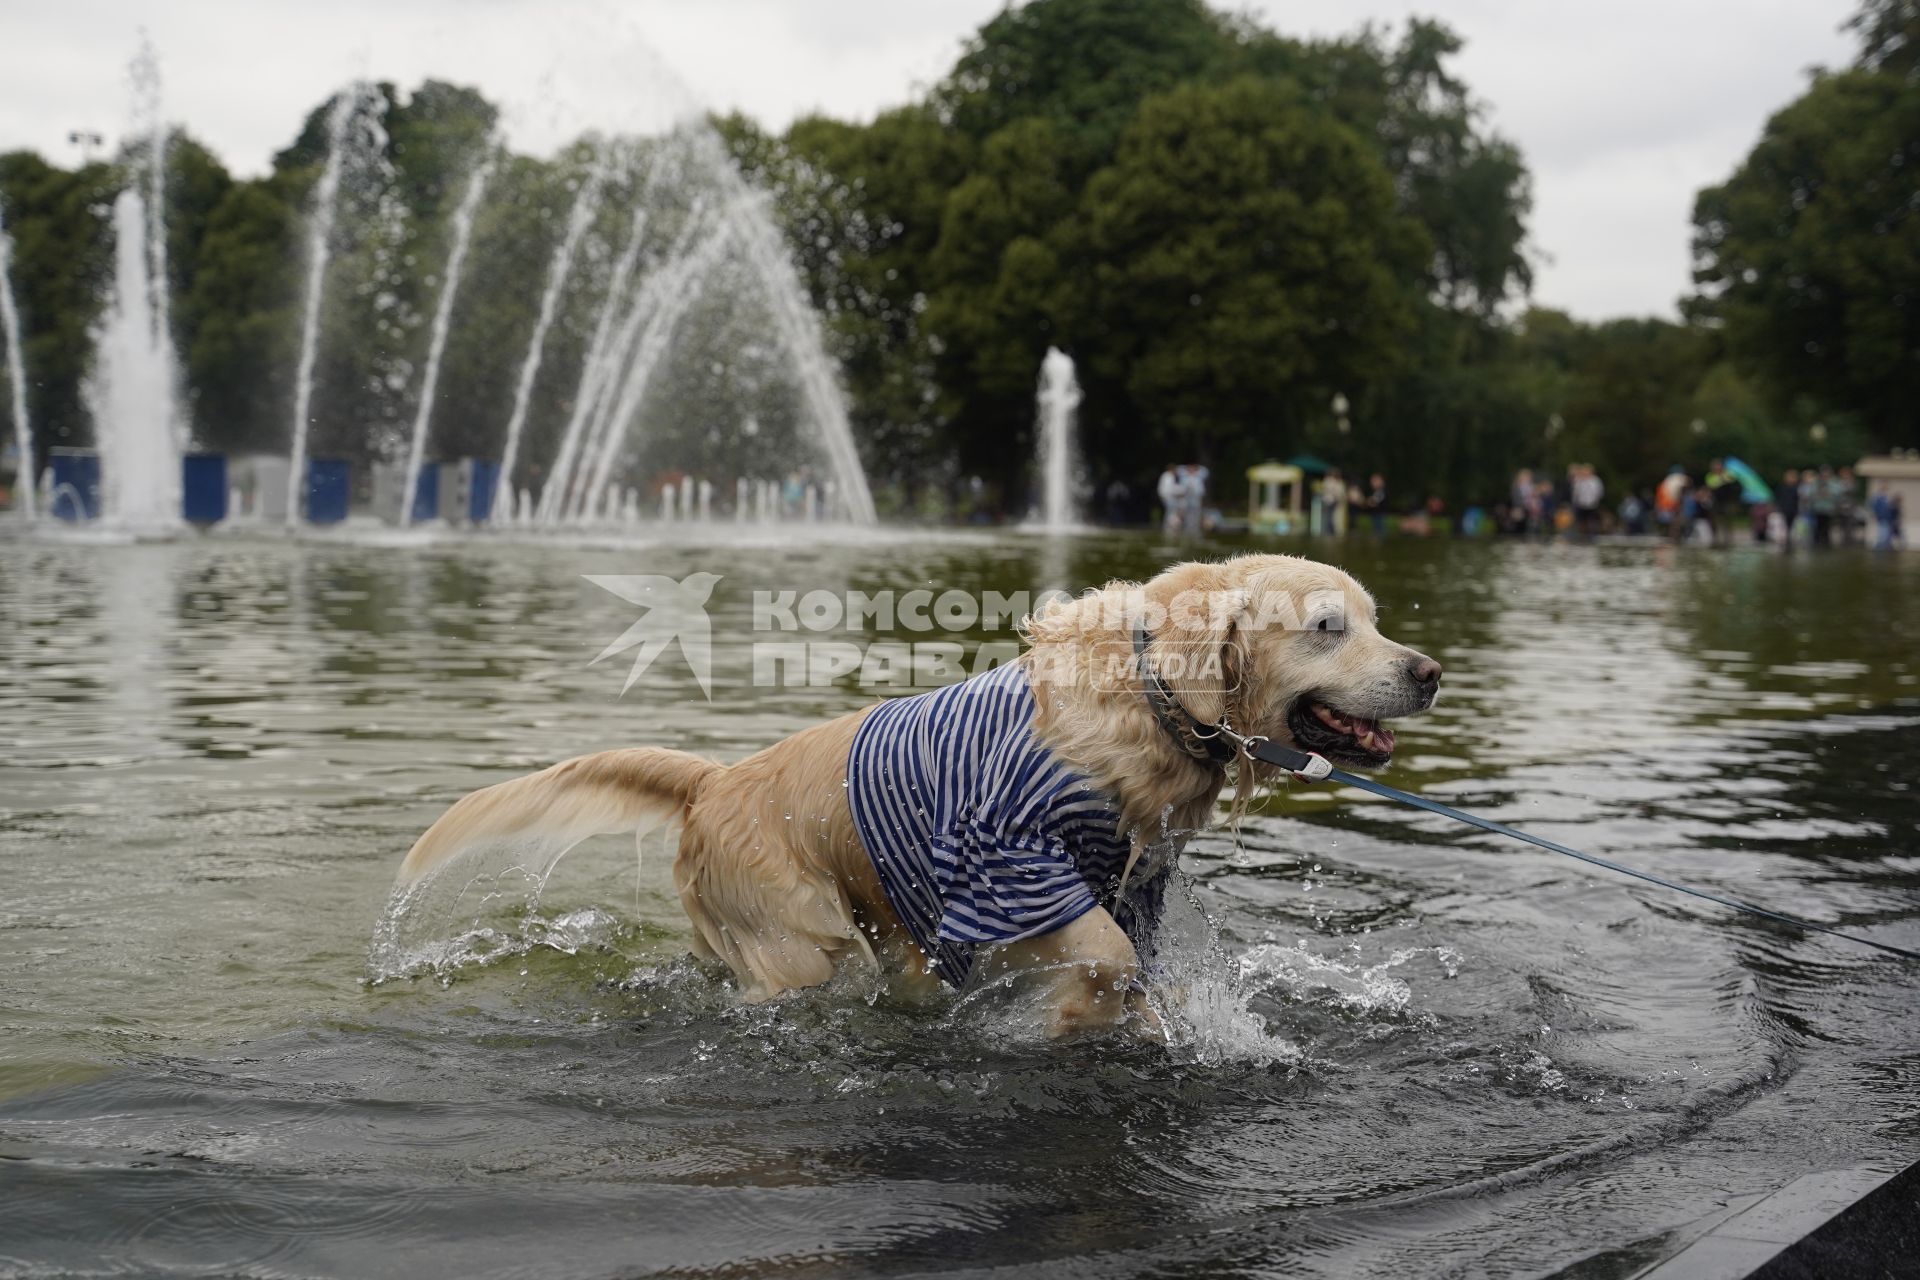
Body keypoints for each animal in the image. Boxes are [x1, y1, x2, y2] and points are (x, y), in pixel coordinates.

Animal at [393, 556, 1443, 1036]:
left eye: (1377, 620)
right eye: (1328, 626)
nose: (1429, 671)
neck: (1154, 700)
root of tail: (713, 779)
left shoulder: (1133, 879)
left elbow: (1133, 958)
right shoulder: (1006, 859)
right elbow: (1101, 957)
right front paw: (1062, 1019)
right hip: (802, 938)